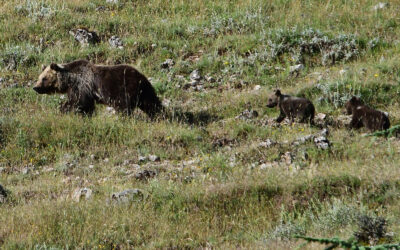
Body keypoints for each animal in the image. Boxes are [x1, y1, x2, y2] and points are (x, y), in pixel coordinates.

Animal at [32, 59, 163, 117]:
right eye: (39, 77)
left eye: (44, 78)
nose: (35, 87)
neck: (69, 80)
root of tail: (141, 77)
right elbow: (86, 105)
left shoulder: (81, 86)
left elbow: (78, 102)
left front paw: (63, 109)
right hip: (144, 92)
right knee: (152, 104)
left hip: (125, 89)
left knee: (124, 107)